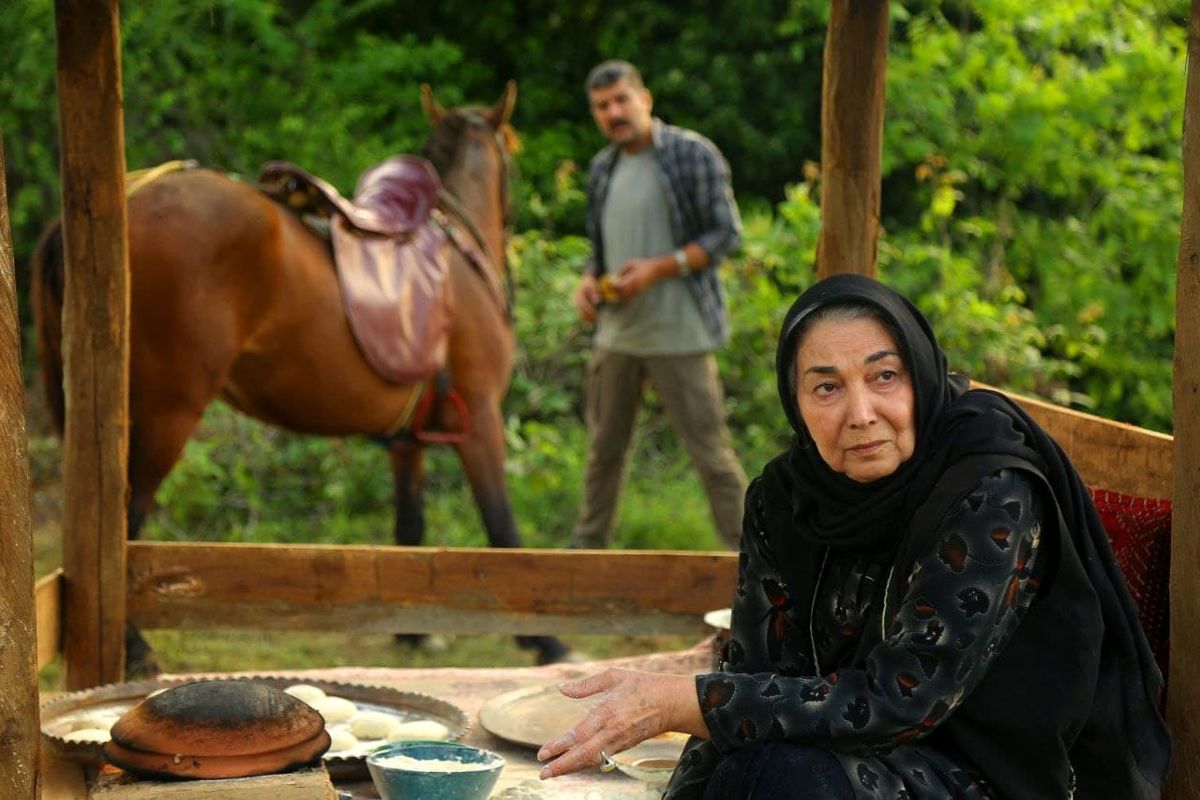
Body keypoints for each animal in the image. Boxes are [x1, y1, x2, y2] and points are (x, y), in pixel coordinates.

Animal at [32, 84, 566, 666]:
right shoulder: (480, 420)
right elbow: (504, 527)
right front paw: (547, 640)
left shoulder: (409, 440)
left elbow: (411, 524)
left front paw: (413, 631)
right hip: (163, 418)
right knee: (122, 523)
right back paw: (133, 647)